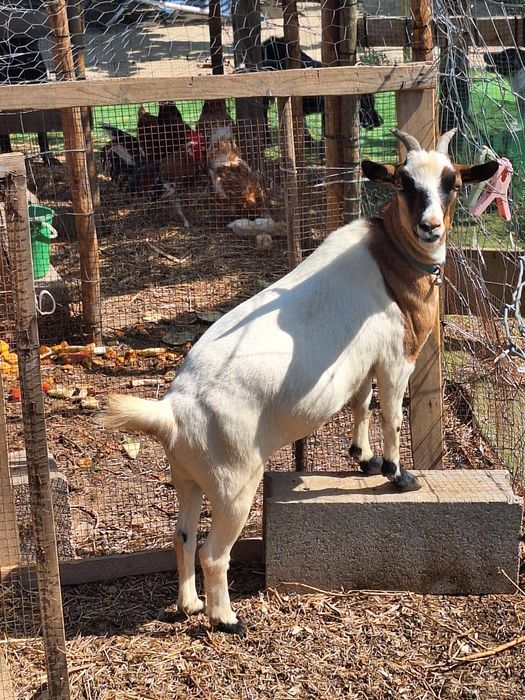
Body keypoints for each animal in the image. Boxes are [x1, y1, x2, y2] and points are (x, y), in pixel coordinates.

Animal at [102, 130, 498, 636]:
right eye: (404, 182)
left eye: (452, 182)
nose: (430, 227)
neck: (391, 259)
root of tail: (173, 410)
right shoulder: (395, 359)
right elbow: (390, 414)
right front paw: (397, 474)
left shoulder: (363, 363)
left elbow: (361, 405)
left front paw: (363, 459)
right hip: (234, 484)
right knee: (213, 552)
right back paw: (225, 618)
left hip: (188, 478)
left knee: (182, 535)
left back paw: (189, 605)